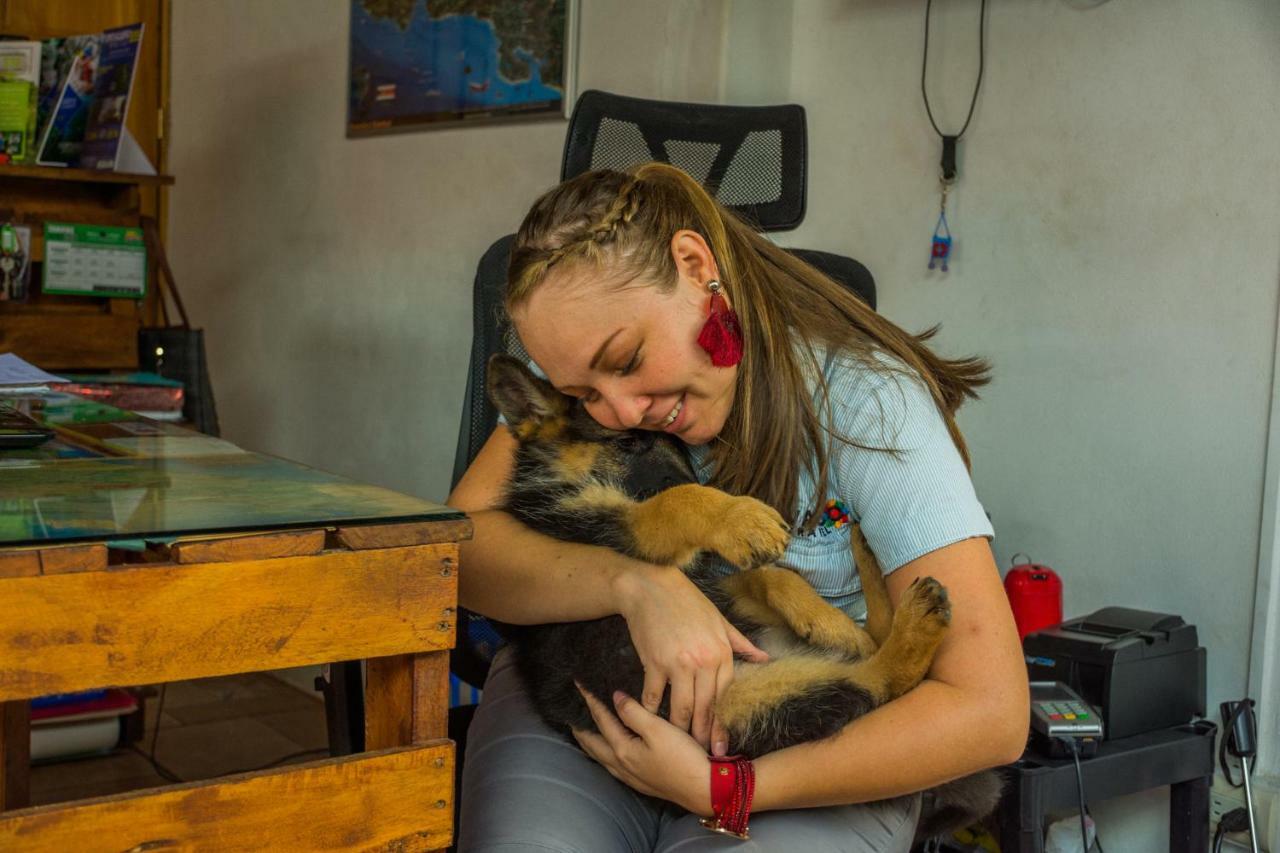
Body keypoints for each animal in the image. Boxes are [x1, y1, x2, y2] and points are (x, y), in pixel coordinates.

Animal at [483, 356, 993, 835]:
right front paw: (736, 516)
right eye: (628, 442)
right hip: (742, 701)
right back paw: (914, 625)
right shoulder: (615, 531)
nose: (719, 488)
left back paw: (865, 580)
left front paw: (827, 619)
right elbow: (675, 502)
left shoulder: (705, 583)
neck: (559, 480)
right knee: (877, 685)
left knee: (872, 655)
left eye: (682, 447)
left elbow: (770, 577)